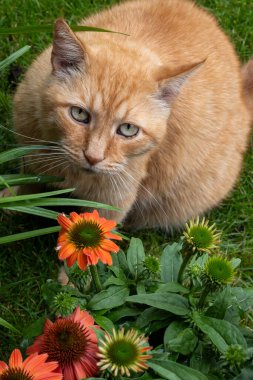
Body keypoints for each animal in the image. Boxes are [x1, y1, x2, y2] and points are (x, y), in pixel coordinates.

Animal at [12, 0, 252, 229]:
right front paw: (13, 203)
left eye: (128, 129)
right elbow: (25, 188)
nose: (93, 157)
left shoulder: (112, 201)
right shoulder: (28, 155)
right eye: (79, 114)